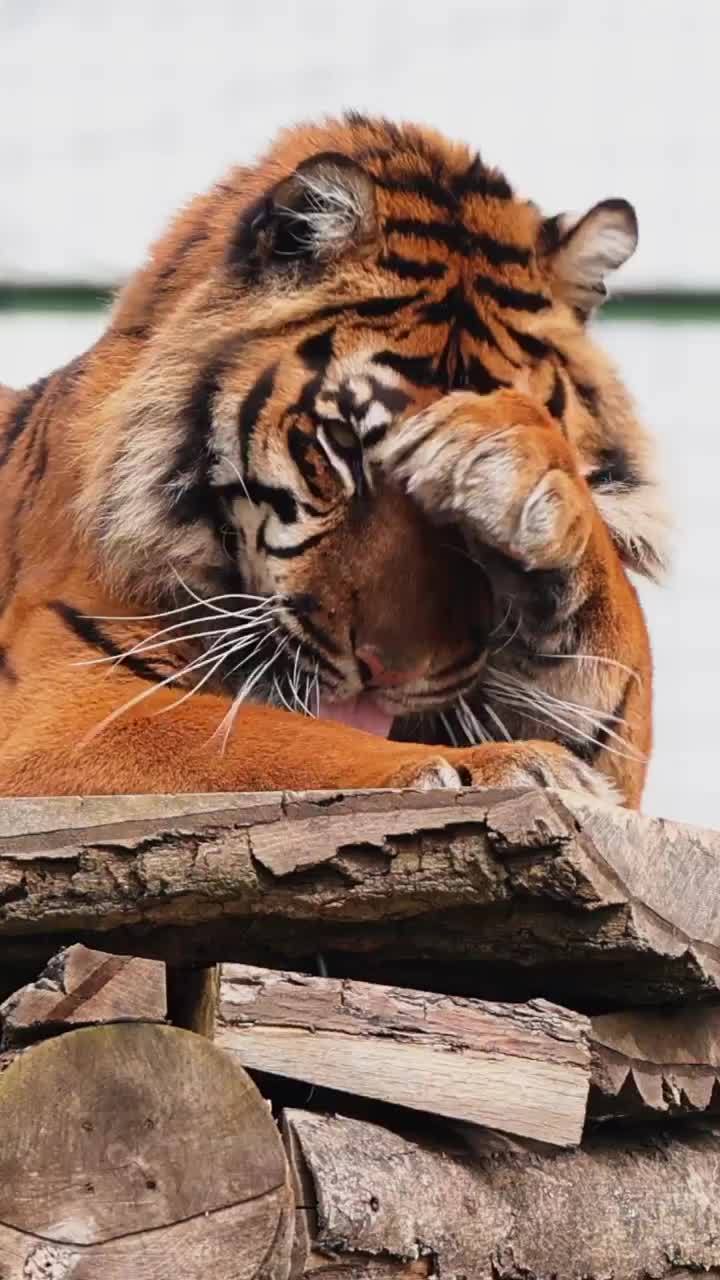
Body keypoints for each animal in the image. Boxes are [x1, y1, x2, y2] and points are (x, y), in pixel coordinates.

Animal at [0, 113, 668, 805]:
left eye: (473, 527)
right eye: (344, 443)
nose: (388, 672)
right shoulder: (61, 702)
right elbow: (273, 739)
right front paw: (501, 762)